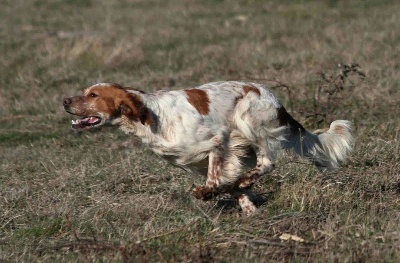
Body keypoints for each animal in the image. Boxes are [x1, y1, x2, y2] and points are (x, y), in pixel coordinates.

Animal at [62, 81, 354, 216]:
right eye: (86, 92)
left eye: (93, 95)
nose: (65, 101)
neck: (151, 117)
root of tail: (275, 99)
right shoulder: (203, 159)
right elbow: (229, 183)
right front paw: (248, 208)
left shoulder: (217, 142)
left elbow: (215, 180)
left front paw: (207, 192)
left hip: (248, 117)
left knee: (267, 163)